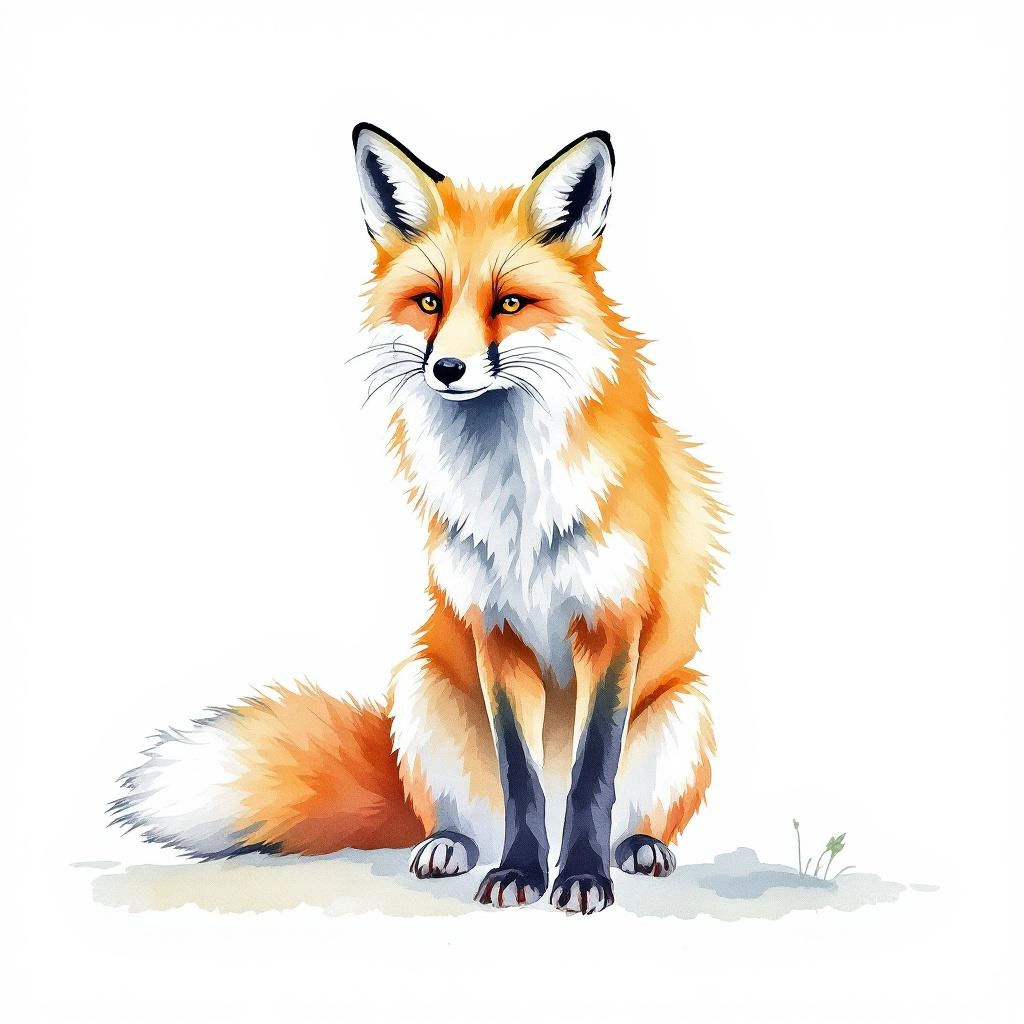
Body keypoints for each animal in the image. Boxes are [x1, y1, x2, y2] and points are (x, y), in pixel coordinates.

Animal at [111, 124, 725, 915]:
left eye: (510, 303)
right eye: (430, 301)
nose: (449, 370)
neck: (514, 500)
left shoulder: (611, 624)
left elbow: (591, 779)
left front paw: (582, 878)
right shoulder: (494, 631)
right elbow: (523, 779)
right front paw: (521, 873)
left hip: (686, 708)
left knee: (628, 809)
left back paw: (639, 848)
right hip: (419, 687)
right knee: (463, 815)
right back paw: (452, 846)